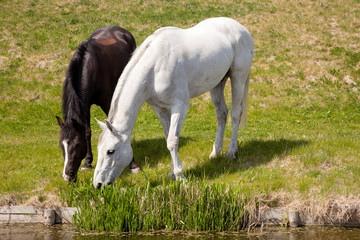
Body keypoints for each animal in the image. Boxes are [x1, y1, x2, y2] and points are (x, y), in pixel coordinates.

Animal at [56, 24, 139, 182]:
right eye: (61, 145)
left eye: (77, 144)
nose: (67, 175)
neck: (90, 66)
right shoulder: (85, 105)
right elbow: (87, 132)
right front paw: (87, 162)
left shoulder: (107, 102)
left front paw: (133, 164)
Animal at [94, 17, 255, 188]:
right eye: (99, 149)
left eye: (110, 151)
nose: (98, 184)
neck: (155, 67)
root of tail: (241, 28)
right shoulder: (160, 109)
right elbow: (167, 138)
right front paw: (172, 173)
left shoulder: (180, 106)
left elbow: (172, 141)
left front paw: (180, 175)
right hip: (217, 83)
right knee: (222, 114)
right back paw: (215, 152)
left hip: (238, 78)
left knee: (235, 114)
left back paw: (231, 152)